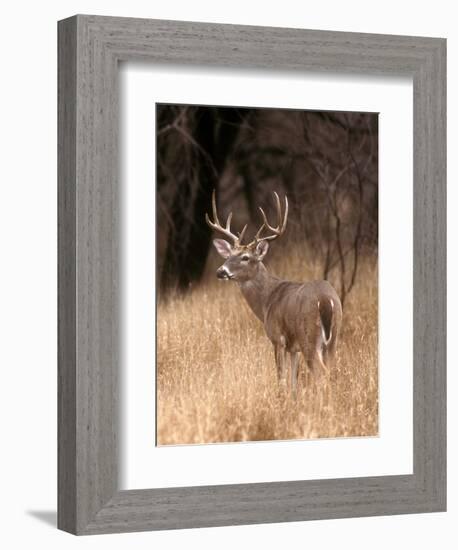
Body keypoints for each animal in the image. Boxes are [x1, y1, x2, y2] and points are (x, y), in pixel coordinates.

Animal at [206, 191, 342, 396]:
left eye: (245, 257)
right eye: (228, 255)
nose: (220, 271)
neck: (267, 301)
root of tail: (326, 300)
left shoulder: (278, 338)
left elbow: (281, 379)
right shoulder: (293, 348)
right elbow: (293, 381)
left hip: (309, 336)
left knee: (322, 374)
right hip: (333, 336)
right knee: (332, 371)